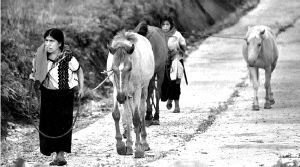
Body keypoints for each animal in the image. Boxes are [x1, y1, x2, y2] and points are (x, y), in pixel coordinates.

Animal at [106, 30, 155, 158]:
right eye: (113, 69)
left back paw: (144, 143)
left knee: (142, 111)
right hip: (127, 95)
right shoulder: (116, 89)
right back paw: (128, 144)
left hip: (143, 89)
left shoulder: (137, 90)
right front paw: (120, 145)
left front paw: (138, 148)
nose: (120, 98)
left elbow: (136, 118)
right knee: (128, 114)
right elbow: (117, 114)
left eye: (129, 68)